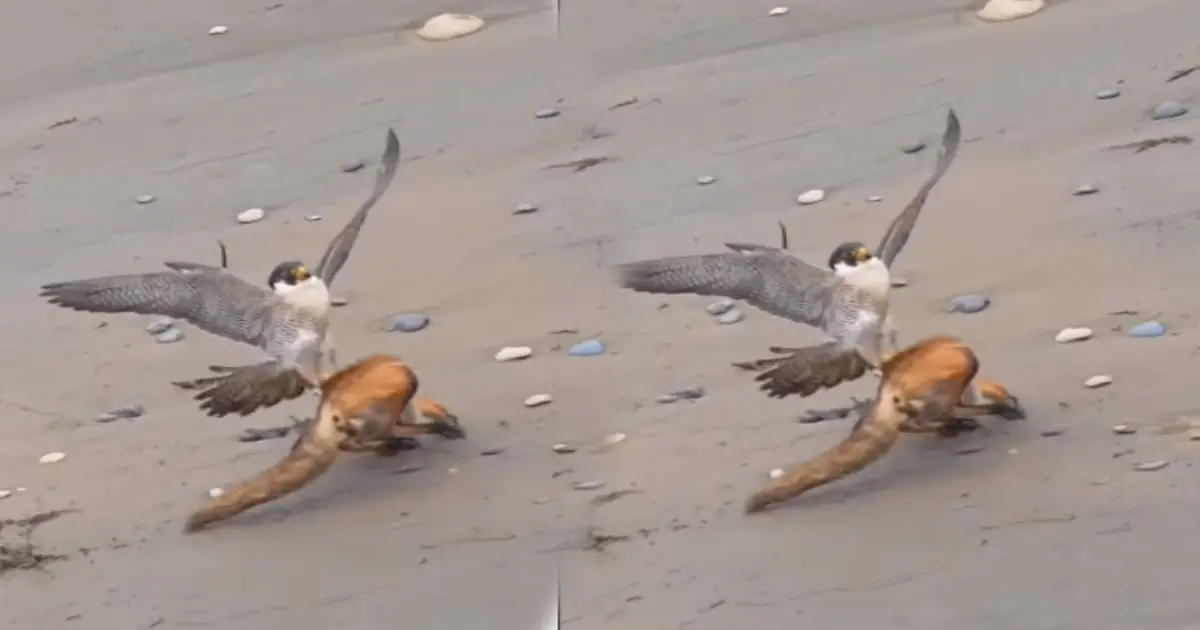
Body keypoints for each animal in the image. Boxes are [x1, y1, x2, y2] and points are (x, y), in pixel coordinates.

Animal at [183, 355, 465, 533]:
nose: (456, 422)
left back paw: (390, 442)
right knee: (359, 436)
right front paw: (441, 427)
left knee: (351, 442)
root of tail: (326, 402)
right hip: (401, 379)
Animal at [743, 335, 1024, 514]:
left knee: (912, 422)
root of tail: (887, 382)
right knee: (922, 418)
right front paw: (1000, 409)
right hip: (962, 361)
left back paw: (950, 424)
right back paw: (956, 421)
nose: (1018, 406)